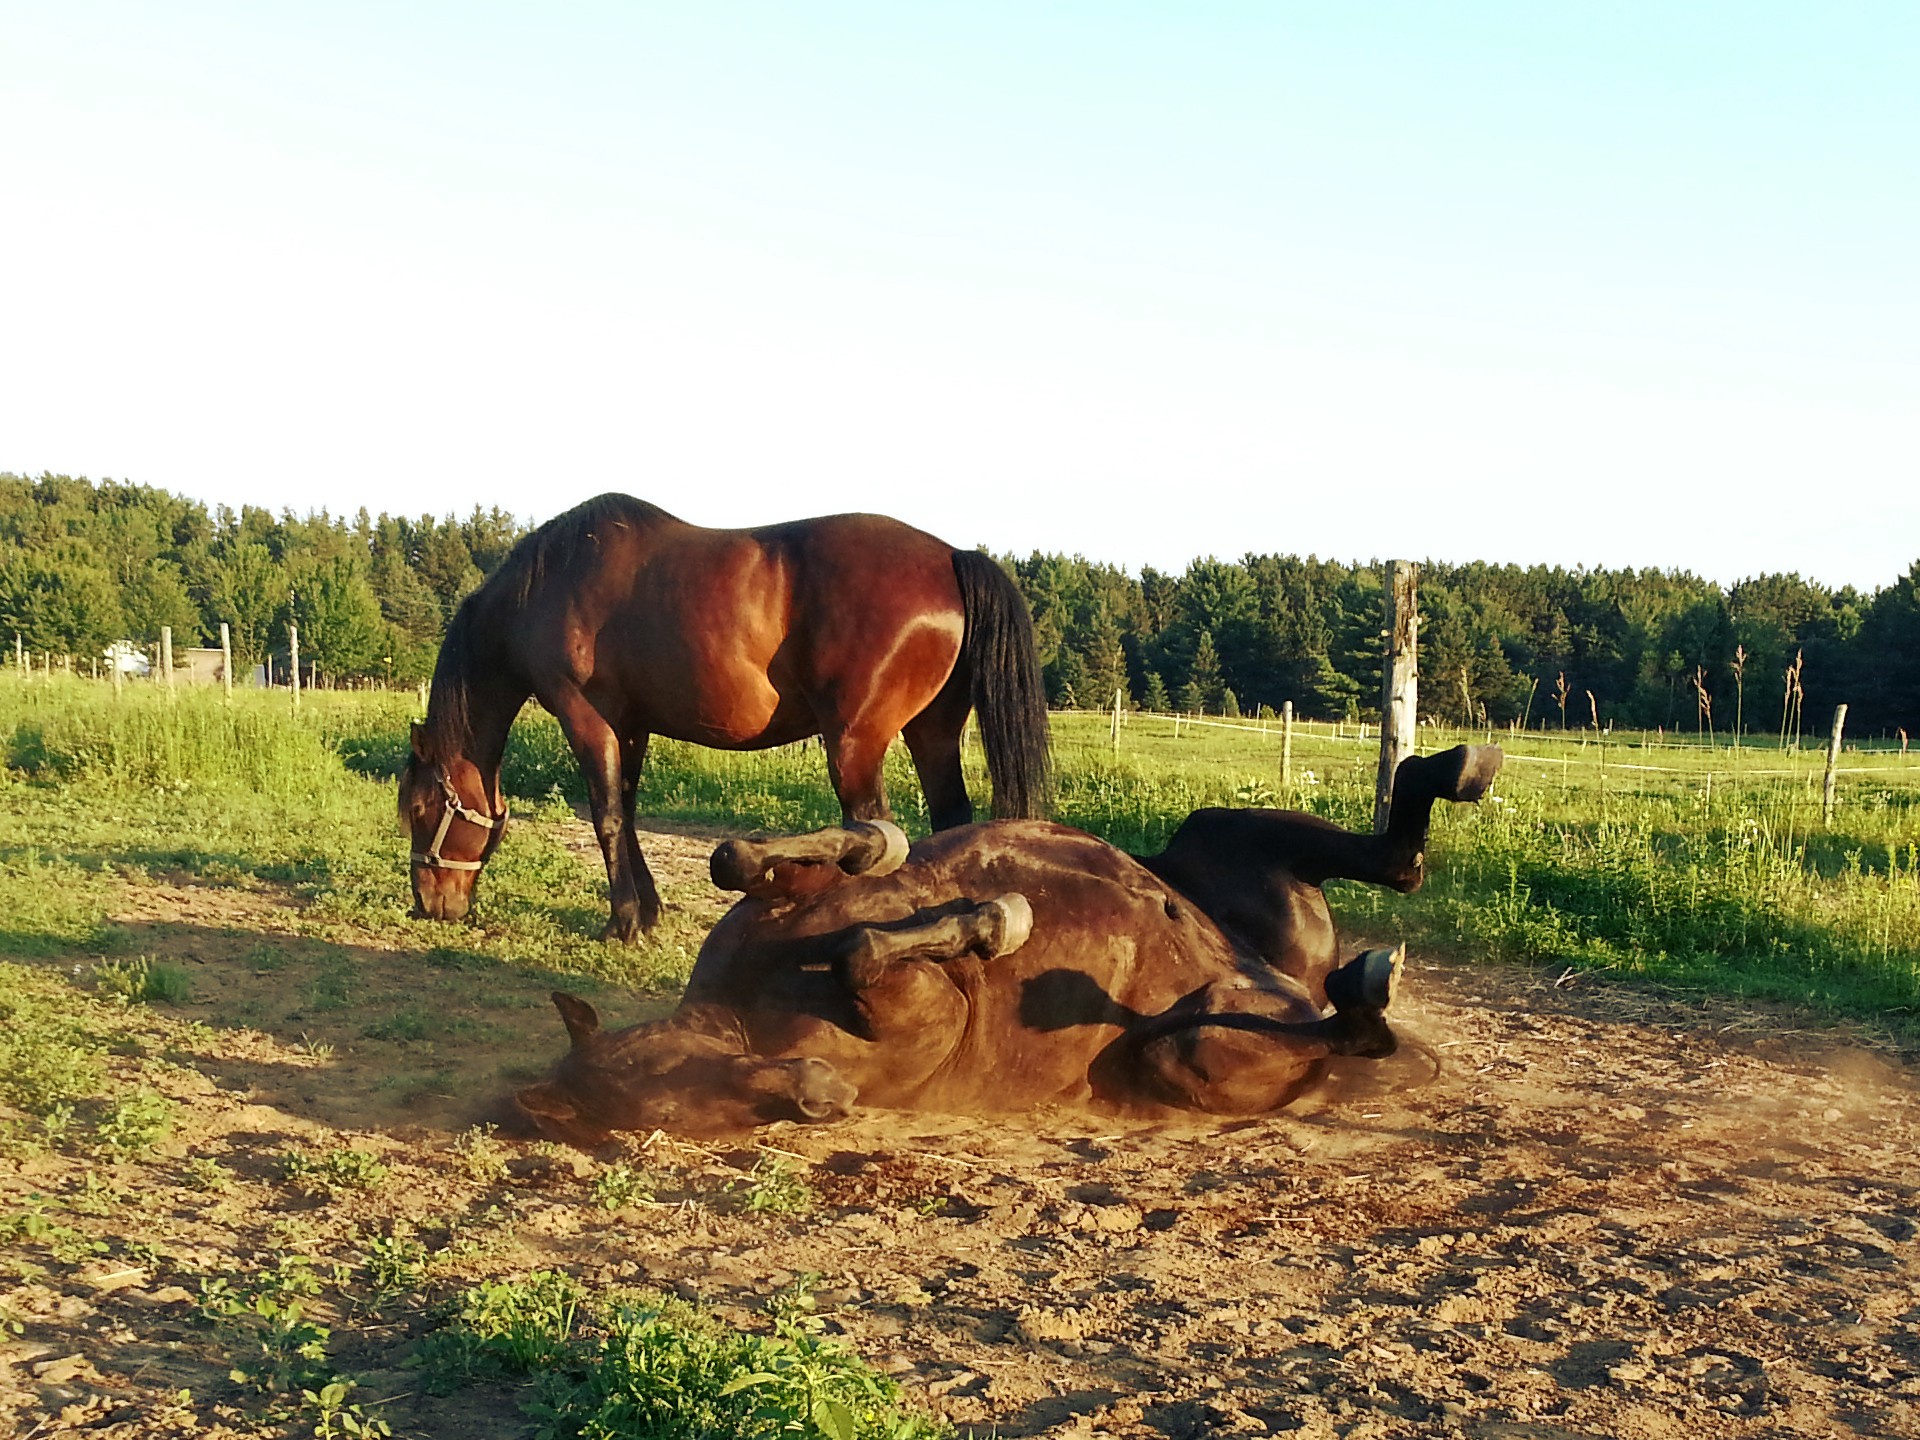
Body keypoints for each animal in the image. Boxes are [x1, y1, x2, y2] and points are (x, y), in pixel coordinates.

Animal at [393, 495, 1052, 948]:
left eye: (420, 810)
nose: (427, 902)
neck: (547, 588)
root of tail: (951, 557)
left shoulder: (589, 720)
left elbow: (606, 817)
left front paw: (622, 922)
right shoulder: (632, 725)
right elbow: (627, 809)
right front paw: (648, 912)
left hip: (855, 743)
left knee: (874, 834)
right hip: (931, 734)